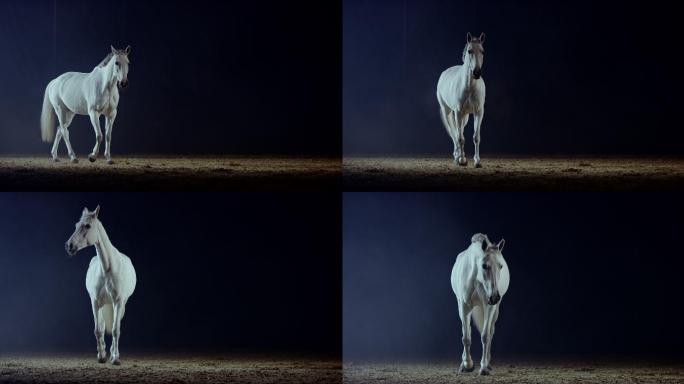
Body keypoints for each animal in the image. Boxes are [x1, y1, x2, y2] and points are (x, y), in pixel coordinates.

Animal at [65, 206, 136, 364]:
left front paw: (115, 358)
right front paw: (101, 356)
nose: (68, 246)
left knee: (116, 325)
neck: (108, 268)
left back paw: (113, 353)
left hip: (120, 304)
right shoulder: (95, 302)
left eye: (87, 226)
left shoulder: (118, 302)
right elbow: (98, 330)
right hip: (103, 305)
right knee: (102, 326)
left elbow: (116, 330)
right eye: (76, 225)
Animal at [438, 31, 486, 166]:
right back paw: (458, 157)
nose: (476, 73)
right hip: (448, 112)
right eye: (470, 51)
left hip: (465, 116)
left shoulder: (478, 112)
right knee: (454, 134)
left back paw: (462, 156)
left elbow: (476, 137)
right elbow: (459, 137)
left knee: (460, 132)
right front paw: (461, 160)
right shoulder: (458, 112)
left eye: (482, 51)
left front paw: (477, 161)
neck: (469, 87)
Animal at [448, 234, 508, 376]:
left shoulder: (489, 307)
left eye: (500, 266)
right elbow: (466, 337)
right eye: (484, 266)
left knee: (490, 331)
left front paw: (484, 367)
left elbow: (485, 336)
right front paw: (467, 365)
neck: (476, 279)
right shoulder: (464, 307)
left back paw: (488, 363)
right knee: (467, 330)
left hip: (495, 310)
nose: (495, 297)